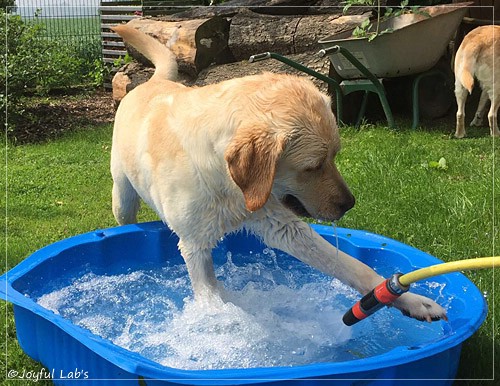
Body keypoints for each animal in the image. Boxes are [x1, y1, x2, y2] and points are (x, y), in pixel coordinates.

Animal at [110, 24, 446, 322]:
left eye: (334, 157)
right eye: (313, 166)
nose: (349, 204)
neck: (229, 186)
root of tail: (151, 82)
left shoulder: (281, 223)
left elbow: (353, 266)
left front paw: (413, 300)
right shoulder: (195, 246)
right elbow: (211, 296)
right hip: (122, 198)